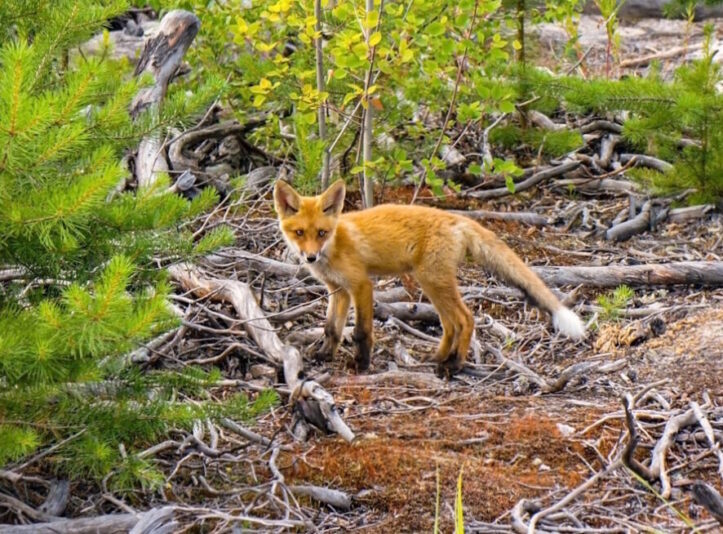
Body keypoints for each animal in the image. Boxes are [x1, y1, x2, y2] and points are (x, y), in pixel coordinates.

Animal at [274, 180, 584, 376]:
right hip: (431, 284)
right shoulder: (338, 290)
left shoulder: (361, 285)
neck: (335, 245)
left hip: (431, 280)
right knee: (450, 324)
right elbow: (332, 329)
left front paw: (360, 365)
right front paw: (325, 355)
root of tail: (458, 218)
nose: (310, 257)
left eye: (321, 233)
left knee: (465, 319)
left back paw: (454, 365)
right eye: (299, 233)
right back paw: (439, 357)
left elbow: (361, 331)